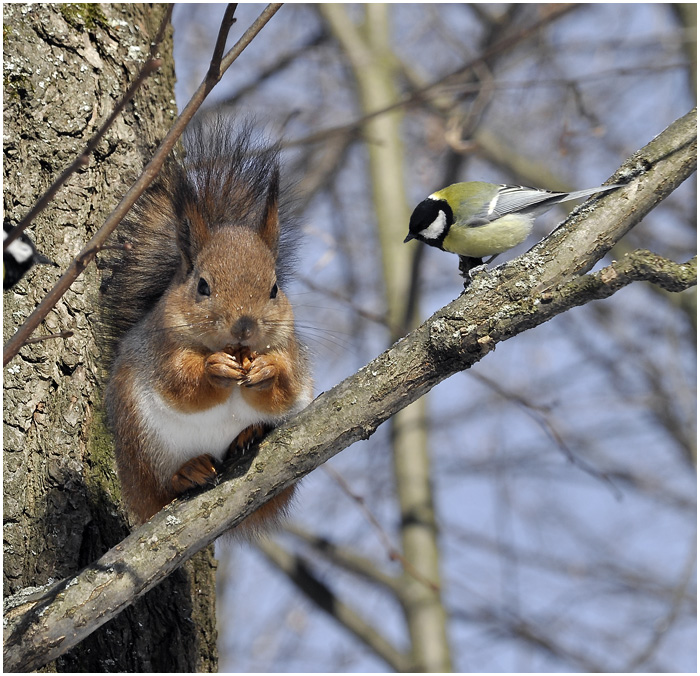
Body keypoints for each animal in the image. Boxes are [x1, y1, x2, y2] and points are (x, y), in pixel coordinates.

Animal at [100, 121, 312, 532]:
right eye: (202, 286)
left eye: (275, 288)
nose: (244, 326)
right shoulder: (159, 349)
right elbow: (180, 385)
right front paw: (214, 369)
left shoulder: (291, 350)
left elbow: (287, 385)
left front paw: (266, 370)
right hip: (143, 447)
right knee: (162, 488)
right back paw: (189, 471)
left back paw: (250, 434)